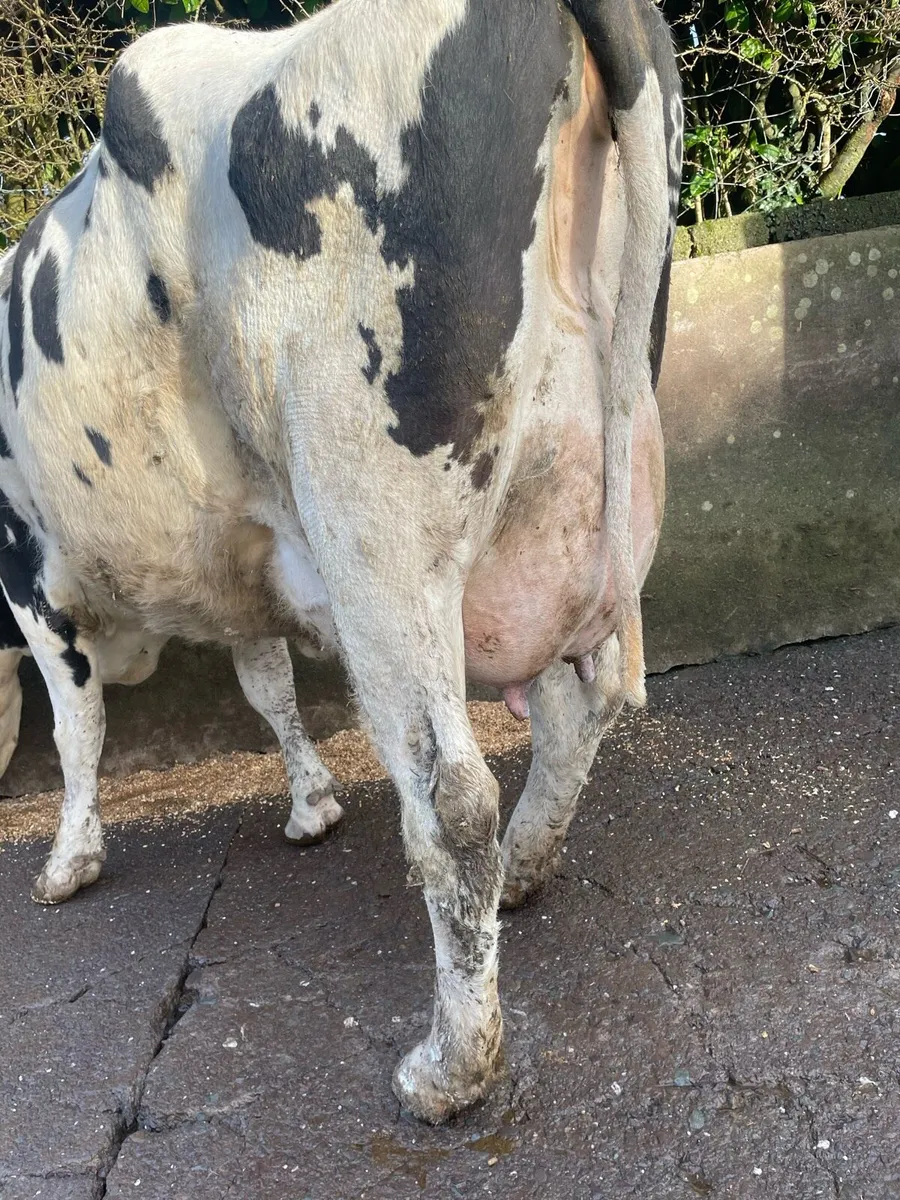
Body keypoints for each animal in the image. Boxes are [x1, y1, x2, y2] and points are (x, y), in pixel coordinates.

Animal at [0, 0, 682, 1121]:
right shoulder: (245, 567)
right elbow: (265, 681)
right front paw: (311, 804)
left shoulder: (26, 569)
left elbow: (76, 727)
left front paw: (67, 862)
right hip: (575, 488)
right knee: (577, 710)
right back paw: (525, 868)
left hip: (378, 526)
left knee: (453, 799)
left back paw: (450, 1068)